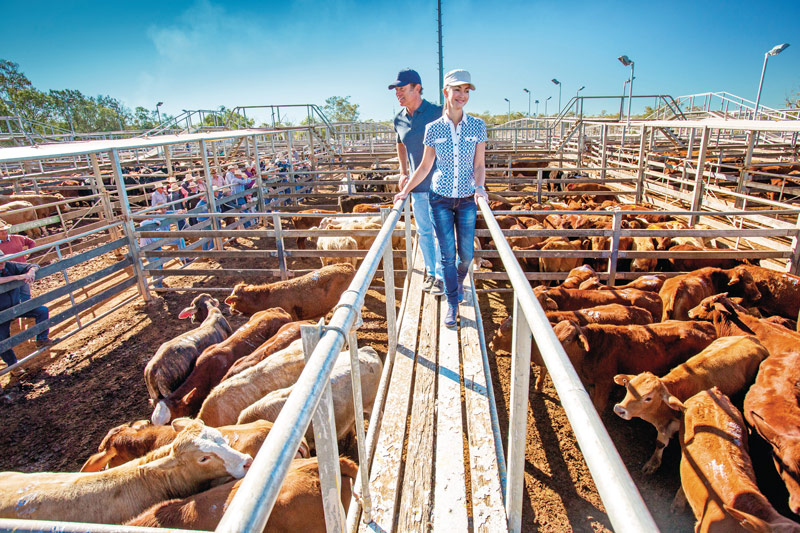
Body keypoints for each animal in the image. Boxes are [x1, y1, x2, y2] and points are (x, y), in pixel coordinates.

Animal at [616, 336, 764, 474]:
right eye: (628, 387)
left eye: (648, 398)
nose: (619, 409)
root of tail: (751, 338)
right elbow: (660, 443)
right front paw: (652, 463)